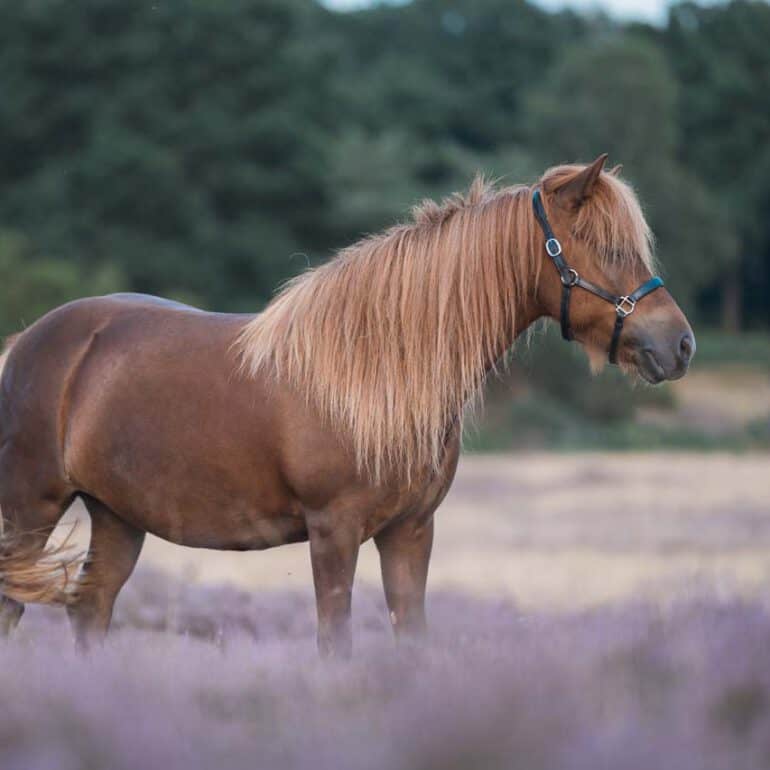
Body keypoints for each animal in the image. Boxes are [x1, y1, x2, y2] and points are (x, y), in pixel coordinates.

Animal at [0, 155, 694, 656]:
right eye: (606, 248)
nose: (678, 344)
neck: (379, 369)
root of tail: (28, 342)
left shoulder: (410, 532)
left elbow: (412, 641)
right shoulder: (333, 532)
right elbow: (335, 645)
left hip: (118, 515)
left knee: (90, 608)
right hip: (29, 509)